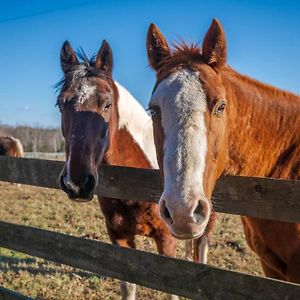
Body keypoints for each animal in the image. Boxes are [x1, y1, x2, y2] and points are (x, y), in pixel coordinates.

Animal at [56, 40, 203, 300]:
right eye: (60, 104)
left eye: (106, 104)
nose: (77, 182)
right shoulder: (119, 236)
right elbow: (128, 286)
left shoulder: (166, 239)